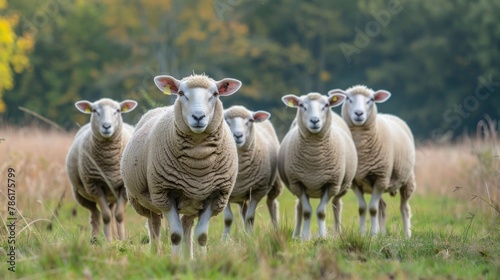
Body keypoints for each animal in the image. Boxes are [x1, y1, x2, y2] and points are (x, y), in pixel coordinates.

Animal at [66, 98, 139, 241]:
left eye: (117, 110)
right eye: (94, 110)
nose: (106, 126)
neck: (109, 162)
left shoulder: (123, 187)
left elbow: (119, 215)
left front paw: (121, 240)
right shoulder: (94, 185)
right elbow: (106, 216)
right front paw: (109, 241)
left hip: (112, 194)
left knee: (112, 211)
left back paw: (114, 236)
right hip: (82, 195)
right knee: (95, 214)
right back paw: (95, 239)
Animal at [122, 73, 243, 258]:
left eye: (215, 94)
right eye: (180, 93)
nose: (198, 117)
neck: (198, 161)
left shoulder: (215, 195)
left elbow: (201, 236)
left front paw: (201, 261)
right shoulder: (164, 194)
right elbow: (175, 235)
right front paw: (173, 261)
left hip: (192, 202)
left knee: (187, 224)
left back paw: (189, 258)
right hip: (143, 201)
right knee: (154, 225)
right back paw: (155, 255)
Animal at [222, 106, 282, 237]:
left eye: (250, 120)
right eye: (225, 121)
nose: (237, 135)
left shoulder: (257, 191)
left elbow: (250, 218)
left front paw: (250, 237)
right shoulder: (224, 191)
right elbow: (228, 218)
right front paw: (225, 239)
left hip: (274, 184)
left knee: (272, 204)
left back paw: (276, 230)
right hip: (241, 195)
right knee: (243, 211)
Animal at [280, 92, 358, 241]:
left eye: (326, 105)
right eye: (301, 105)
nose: (315, 121)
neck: (314, 162)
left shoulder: (331, 184)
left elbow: (321, 212)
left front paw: (323, 237)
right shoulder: (298, 183)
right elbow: (306, 211)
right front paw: (305, 238)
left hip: (342, 187)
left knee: (336, 204)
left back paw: (338, 233)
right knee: (299, 207)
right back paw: (296, 235)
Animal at [328, 84, 418, 237]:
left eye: (370, 99)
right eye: (348, 98)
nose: (359, 113)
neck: (362, 151)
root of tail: (390, 115)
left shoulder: (380, 178)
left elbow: (373, 209)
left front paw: (374, 236)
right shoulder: (355, 182)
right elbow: (363, 208)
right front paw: (364, 235)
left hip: (406, 180)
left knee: (404, 208)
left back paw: (407, 235)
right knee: (383, 206)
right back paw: (383, 234)